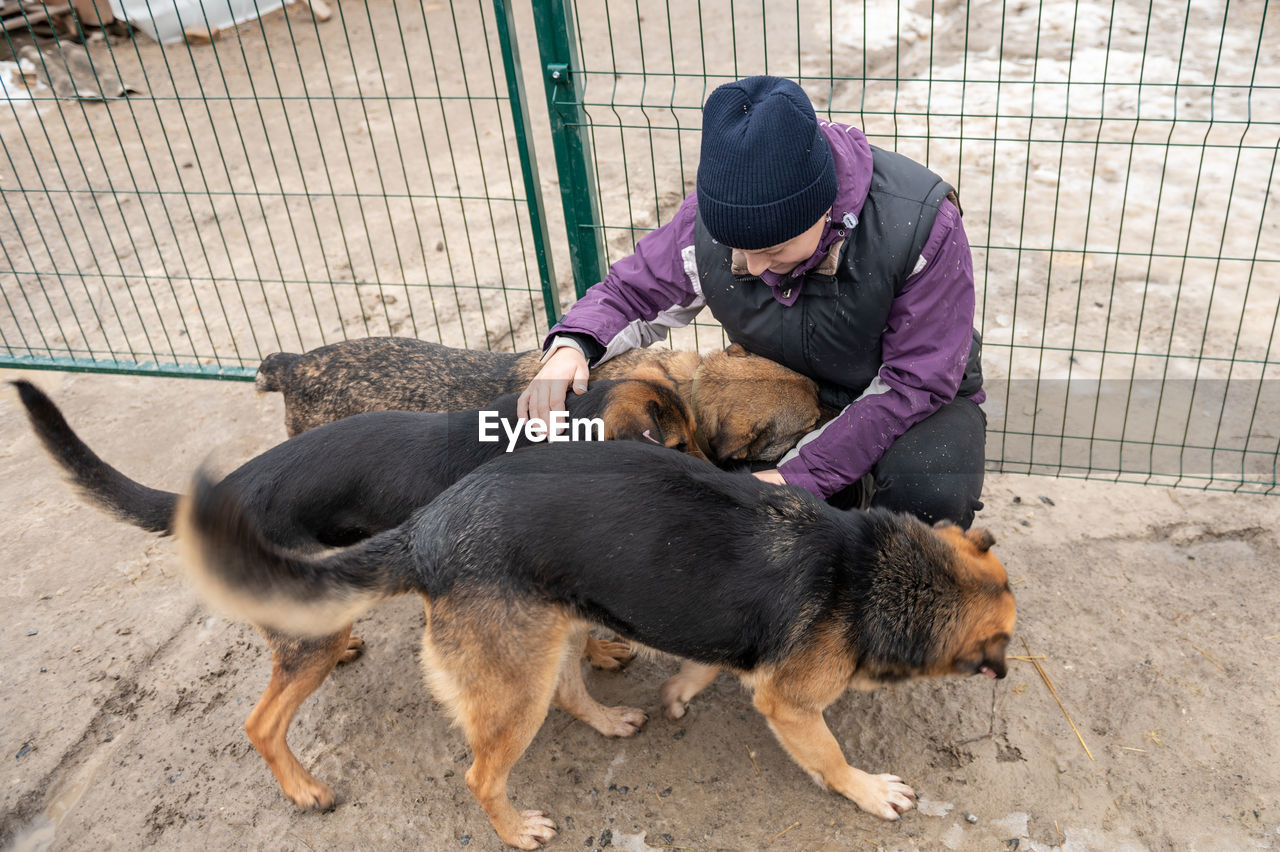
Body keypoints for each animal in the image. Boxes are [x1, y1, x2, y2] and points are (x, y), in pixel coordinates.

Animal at [12, 376, 701, 808]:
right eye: (677, 450)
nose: (716, 477)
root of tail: (221, 495)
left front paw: (599, 653)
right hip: (304, 635)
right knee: (261, 723)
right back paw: (303, 789)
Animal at [177, 434, 1018, 844]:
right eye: (1005, 640)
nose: (1010, 673)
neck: (876, 571)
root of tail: (424, 530)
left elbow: (705, 669)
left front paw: (679, 689)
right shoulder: (791, 706)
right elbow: (833, 758)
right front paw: (869, 790)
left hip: (553, 632)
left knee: (570, 689)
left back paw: (609, 718)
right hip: (513, 689)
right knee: (479, 775)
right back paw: (515, 829)